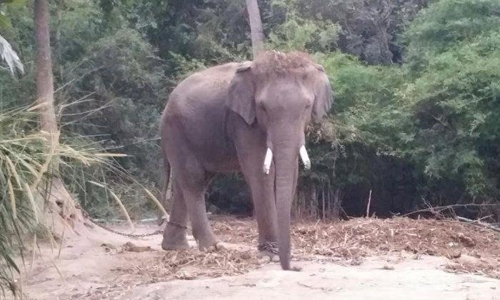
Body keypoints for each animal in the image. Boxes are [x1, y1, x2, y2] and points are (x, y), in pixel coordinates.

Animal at [159, 49, 332, 270]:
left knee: (188, 181)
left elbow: (292, 171)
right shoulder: (242, 121)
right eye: (262, 107)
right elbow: (259, 172)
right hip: (176, 131)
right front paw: (271, 254)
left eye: (307, 106)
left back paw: (175, 247)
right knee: (193, 179)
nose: (294, 267)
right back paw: (212, 247)